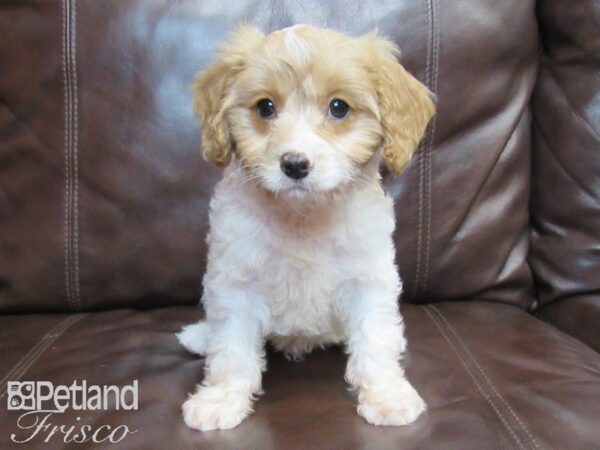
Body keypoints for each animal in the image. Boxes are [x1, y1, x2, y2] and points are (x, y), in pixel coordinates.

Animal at [176, 22, 434, 430]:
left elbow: (375, 340)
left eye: (339, 108)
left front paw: (386, 395)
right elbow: (231, 347)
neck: (303, 216)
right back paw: (201, 336)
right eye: (265, 107)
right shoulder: (235, 281)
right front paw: (222, 399)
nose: (295, 164)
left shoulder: (368, 279)